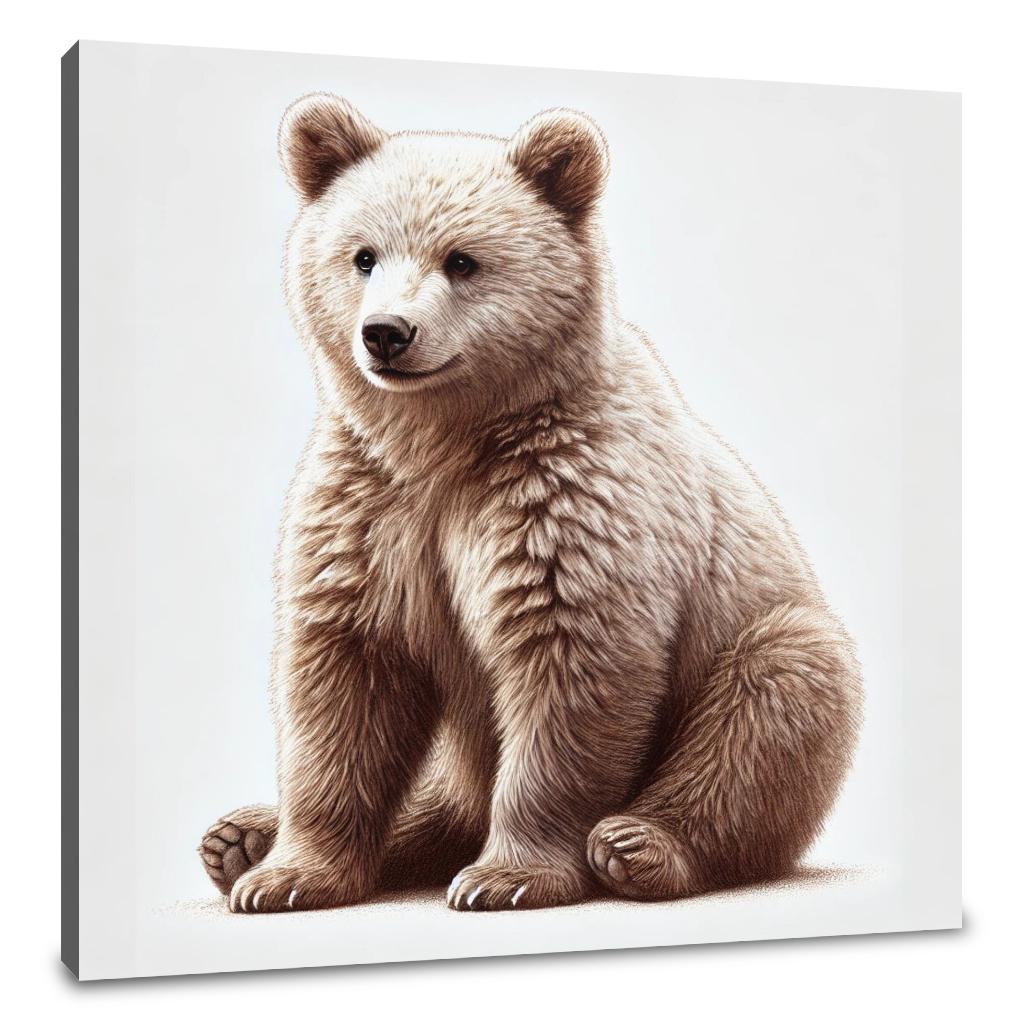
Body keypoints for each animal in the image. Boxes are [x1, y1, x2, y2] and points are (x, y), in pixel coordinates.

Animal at [198, 94, 863, 913]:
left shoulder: (567, 498)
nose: (386, 332)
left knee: (772, 697)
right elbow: (343, 681)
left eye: (462, 260)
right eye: (363, 255)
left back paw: (639, 844)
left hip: (764, 635)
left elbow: (566, 665)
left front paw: (506, 876)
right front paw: (288, 875)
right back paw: (239, 834)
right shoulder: (367, 507)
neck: (443, 441)